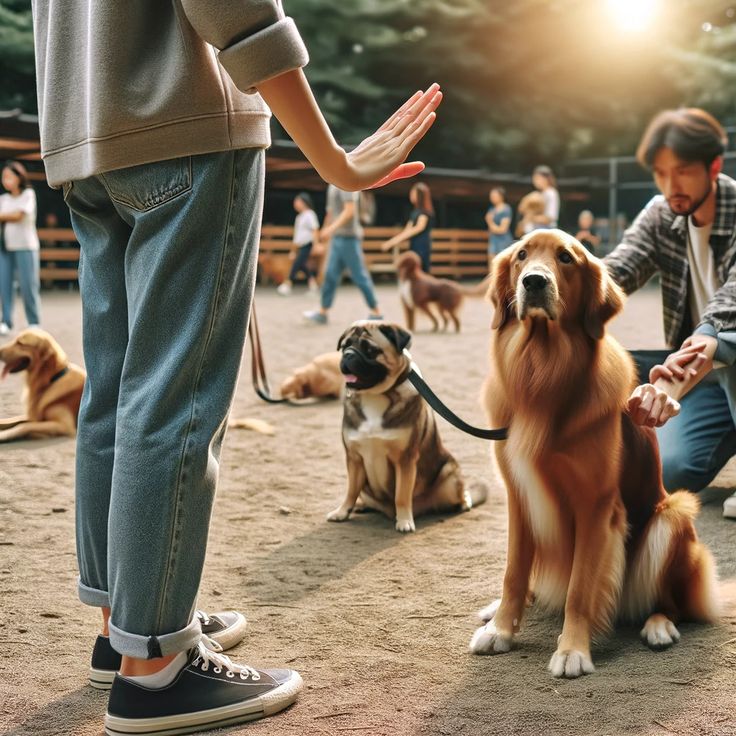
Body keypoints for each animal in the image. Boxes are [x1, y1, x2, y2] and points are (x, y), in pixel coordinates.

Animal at [326, 320, 486, 532]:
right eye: (345, 346)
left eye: (371, 350)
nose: (348, 355)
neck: (374, 396)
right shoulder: (354, 458)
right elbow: (351, 490)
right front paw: (343, 511)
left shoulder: (405, 459)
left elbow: (401, 495)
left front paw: (404, 521)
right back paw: (361, 505)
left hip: (449, 475)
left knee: (459, 493)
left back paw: (464, 502)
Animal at [472, 230, 720, 680]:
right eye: (521, 256)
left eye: (565, 258)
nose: (534, 282)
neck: (543, 371)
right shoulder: (519, 496)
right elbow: (514, 573)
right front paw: (501, 628)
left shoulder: (596, 507)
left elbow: (580, 588)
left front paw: (572, 650)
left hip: (672, 515)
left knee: (670, 602)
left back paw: (659, 626)